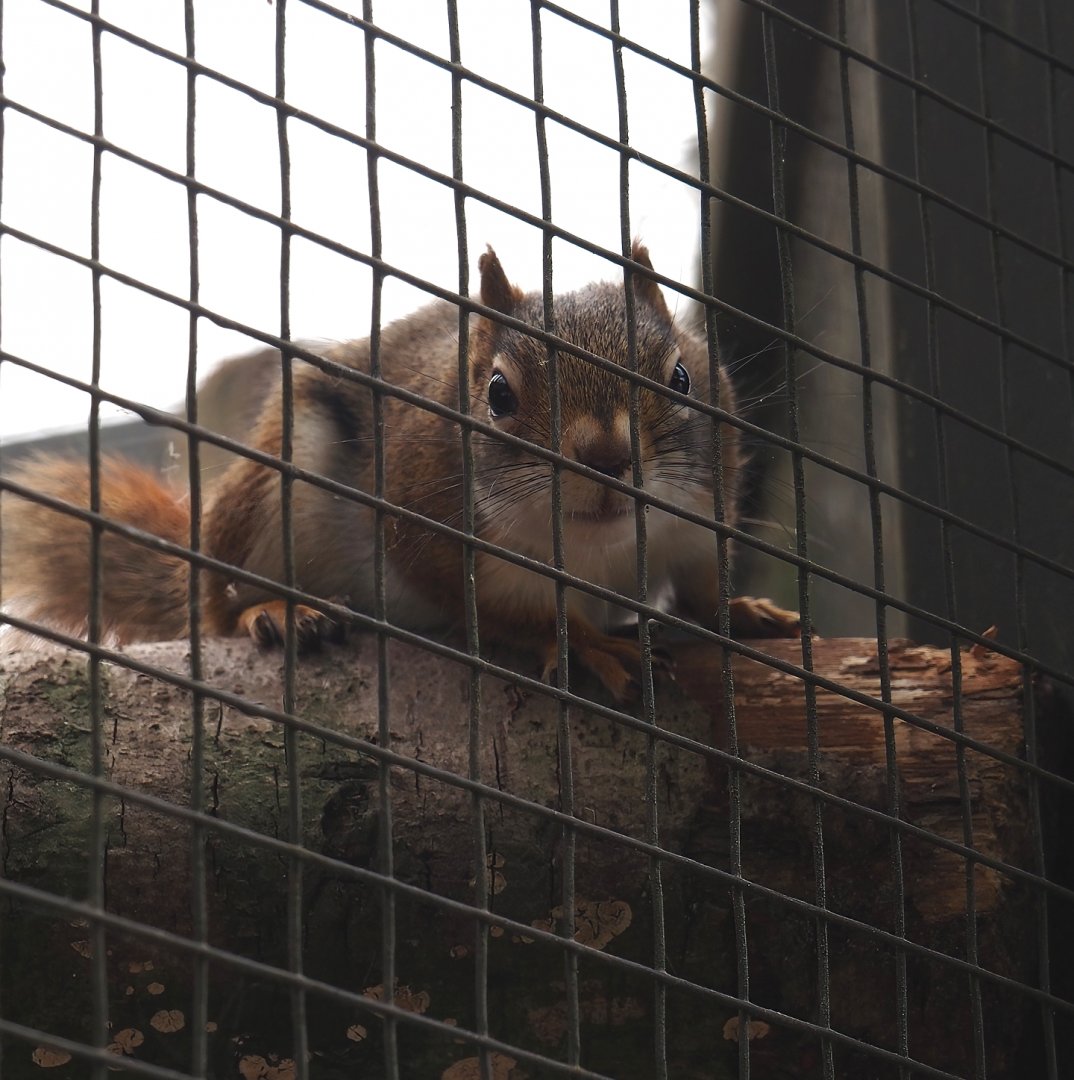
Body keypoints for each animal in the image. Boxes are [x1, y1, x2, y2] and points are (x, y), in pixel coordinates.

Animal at [0, 242, 798, 700]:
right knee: (218, 611)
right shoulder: (437, 542)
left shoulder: (701, 517)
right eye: (497, 394)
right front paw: (586, 644)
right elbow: (513, 614)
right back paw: (275, 609)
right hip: (278, 483)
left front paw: (742, 612)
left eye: (683, 377)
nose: (606, 458)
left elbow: (700, 585)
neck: (597, 549)